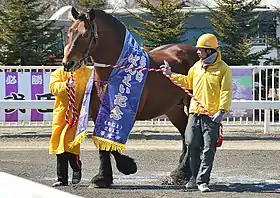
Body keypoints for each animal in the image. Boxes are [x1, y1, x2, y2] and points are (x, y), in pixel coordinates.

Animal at [63, 6, 199, 188]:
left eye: (85, 34)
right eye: (70, 32)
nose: (67, 63)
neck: (113, 74)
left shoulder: (125, 114)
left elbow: (112, 143)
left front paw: (127, 166)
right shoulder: (98, 113)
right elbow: (102, 144)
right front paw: (103, 177)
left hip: (192, 104)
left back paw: (181, 173)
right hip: (173, 109)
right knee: (185, 134)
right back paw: (181, 173)